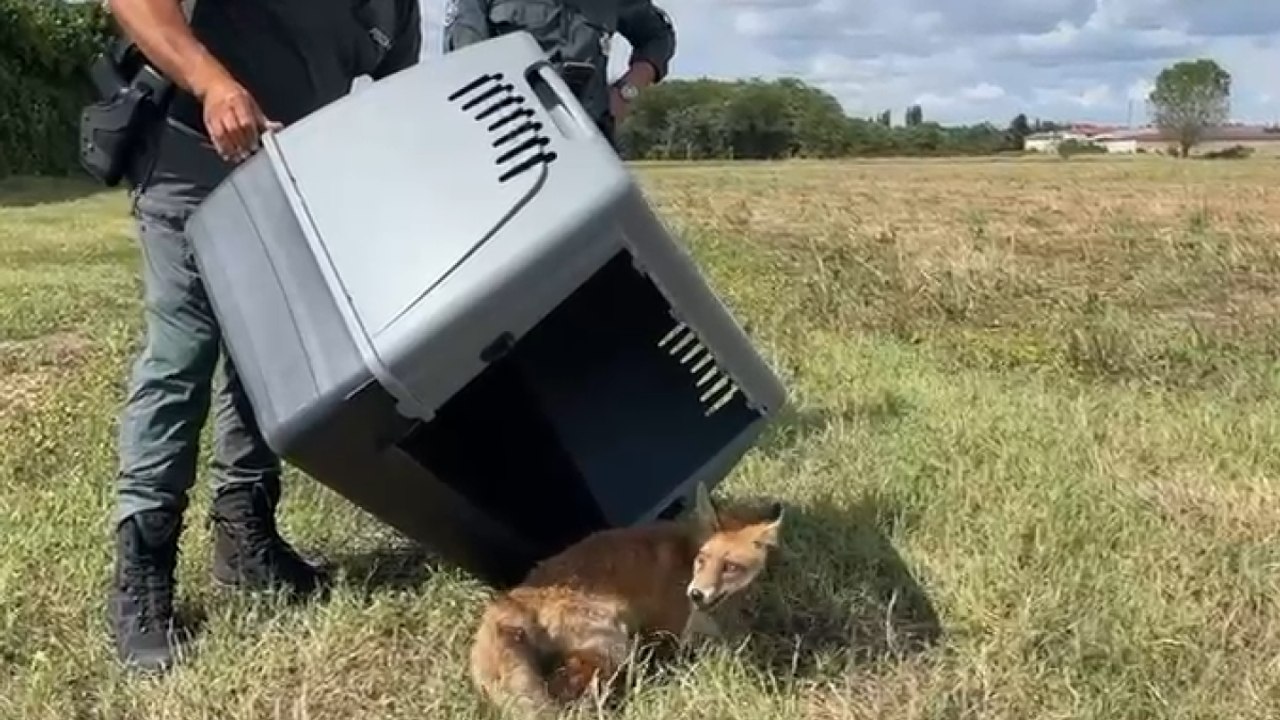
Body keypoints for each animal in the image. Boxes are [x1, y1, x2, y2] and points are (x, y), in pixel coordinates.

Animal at [468, 482, 784, 716]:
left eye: (730, 567)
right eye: (703, 560)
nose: (696, 593)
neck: (686, 551)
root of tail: (511, 598)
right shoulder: (667, 628)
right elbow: (677, 653)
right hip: (614, 646)